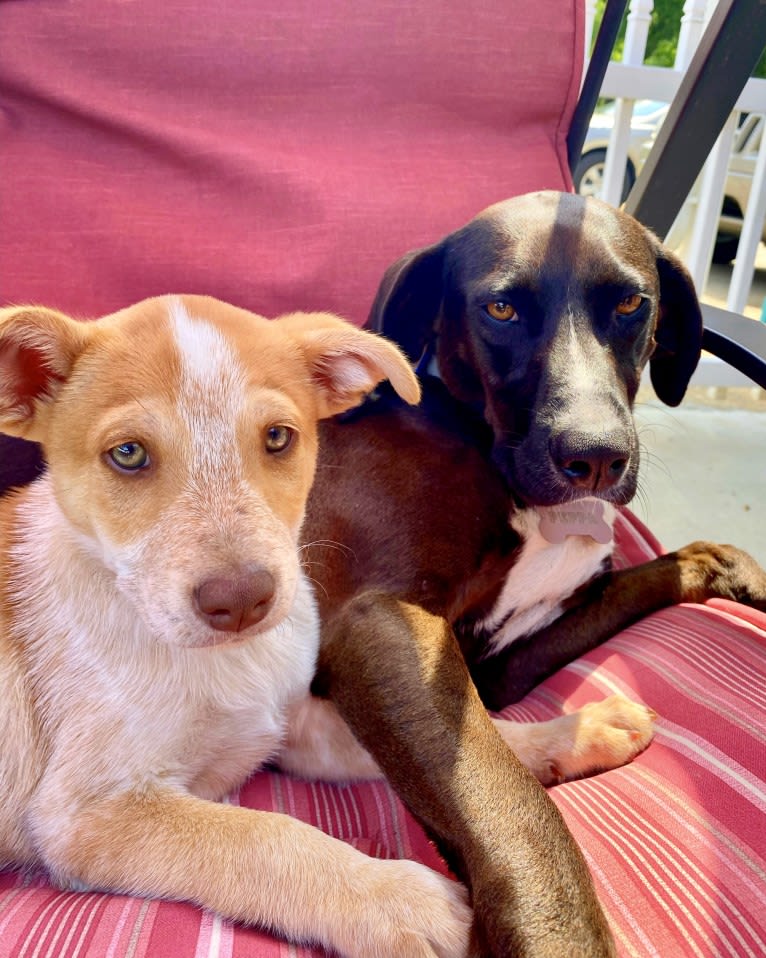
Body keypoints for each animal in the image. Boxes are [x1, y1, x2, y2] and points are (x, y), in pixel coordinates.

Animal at [1, 191, 766, 956]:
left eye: (633, 304)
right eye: (500, 309)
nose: (595, 457)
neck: (477, 440)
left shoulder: (490, 667)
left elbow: (497, 733)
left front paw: (722, 573)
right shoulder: (377, 625)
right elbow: (499, 801)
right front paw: (550, 928)